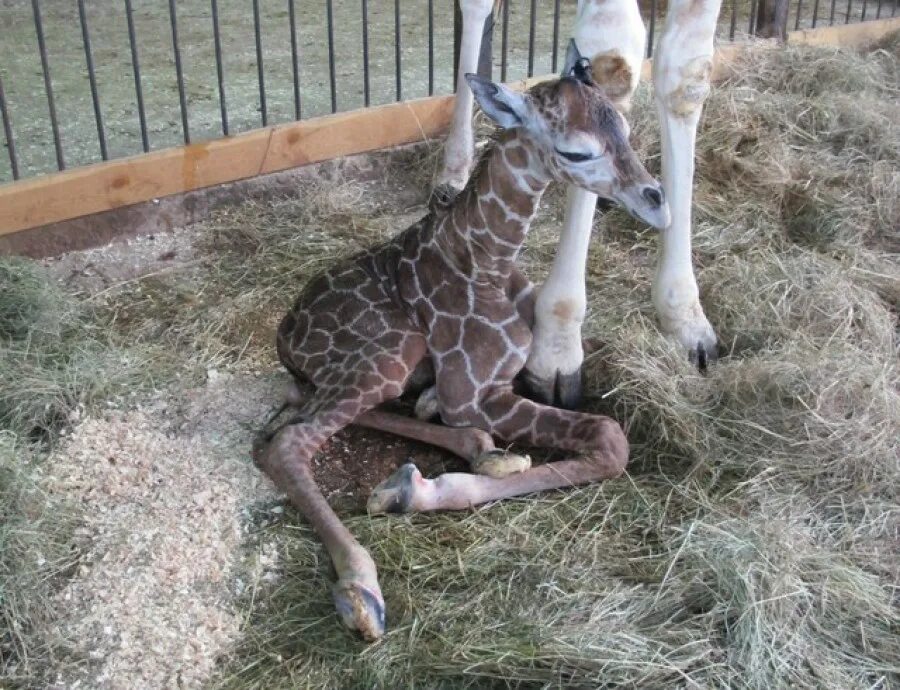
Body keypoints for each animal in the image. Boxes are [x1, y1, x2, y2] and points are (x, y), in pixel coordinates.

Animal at [256, 47, 672, 640]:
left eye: (625, 128)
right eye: (577, 150)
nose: (657, 203)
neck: (489, 263)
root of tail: (284, 337)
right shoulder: (472, 392)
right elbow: (610, 436)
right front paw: (416, 493)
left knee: (307, 406)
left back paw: (481, 450)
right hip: (390, 352)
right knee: (287, 441)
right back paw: (362, 587)